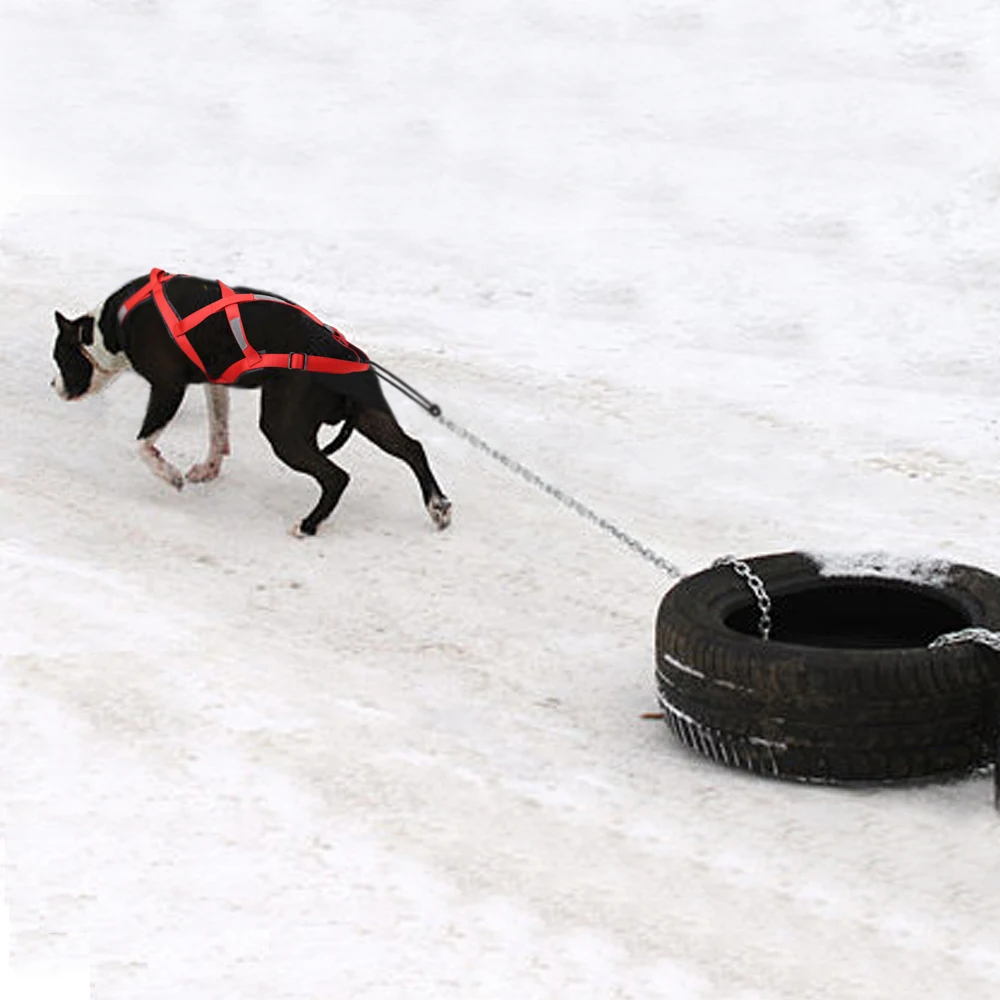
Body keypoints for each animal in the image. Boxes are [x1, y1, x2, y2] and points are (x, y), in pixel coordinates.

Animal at [50, 270, 450, 536]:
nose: (53, 385)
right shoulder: (213, 383)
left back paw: (309, 525)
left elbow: (143, 445)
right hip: (368, 415)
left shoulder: (167, 387)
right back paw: (438, 507)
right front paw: (207, 469)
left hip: (282, 430)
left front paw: (170, 475)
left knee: (336, 476)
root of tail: (344, 352)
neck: (110, 326)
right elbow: (218, 430)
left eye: (59, 358)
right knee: (412, 449)